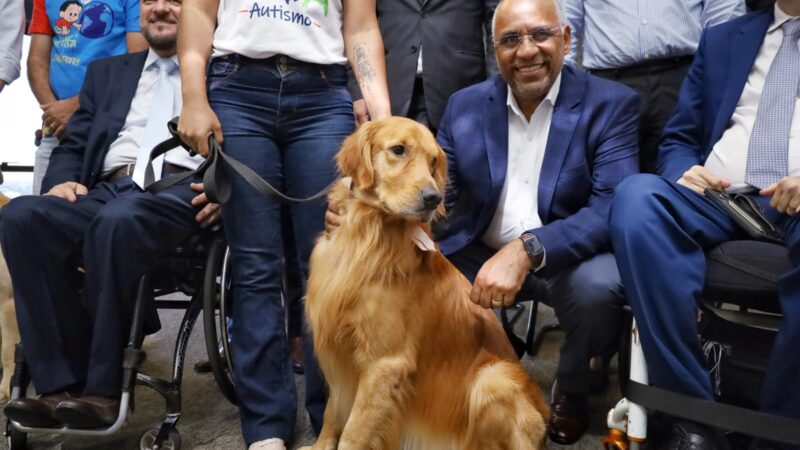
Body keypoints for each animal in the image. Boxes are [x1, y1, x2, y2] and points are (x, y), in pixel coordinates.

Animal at [304, 118, 552, 448]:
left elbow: (353, 435)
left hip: (493, 378)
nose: (434, 198)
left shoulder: (385, 364)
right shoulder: (339, 353)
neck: (369, 236)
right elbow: (332, 414)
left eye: (433, 161)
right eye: (398, 149)